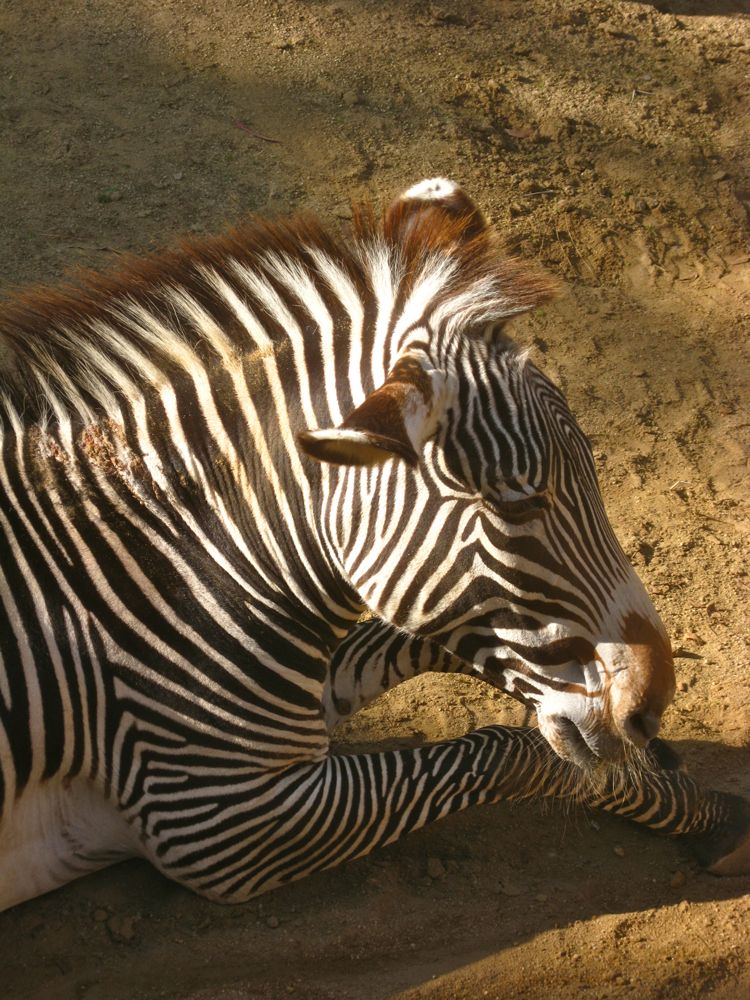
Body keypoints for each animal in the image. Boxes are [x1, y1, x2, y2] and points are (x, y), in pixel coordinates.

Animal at [1, 176, 750, 912]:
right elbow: (512, 751)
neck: (169, 566)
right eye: (520, 502)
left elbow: (423, 646)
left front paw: (696, 801)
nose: (652, 708)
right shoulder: (219, 821)